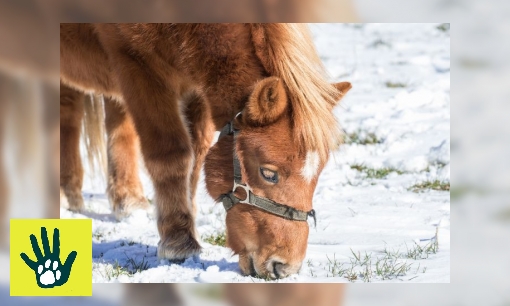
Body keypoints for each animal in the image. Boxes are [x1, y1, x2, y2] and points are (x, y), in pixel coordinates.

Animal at [60, 22, 350, 278]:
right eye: (268, 173)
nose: (285, 267)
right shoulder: (136, 65)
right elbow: (171, 154)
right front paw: (178, 241)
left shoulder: (196, 85)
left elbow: (196, 155)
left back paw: (126, 200)